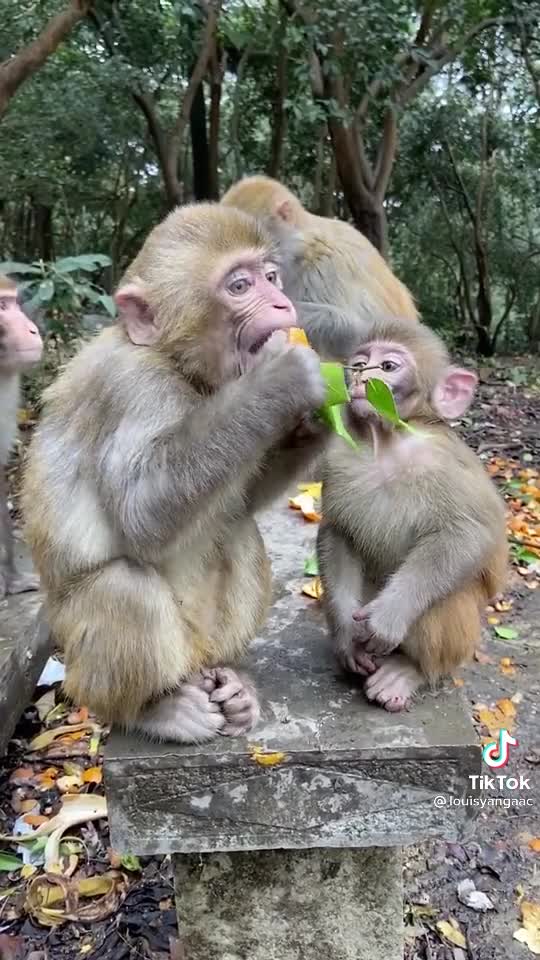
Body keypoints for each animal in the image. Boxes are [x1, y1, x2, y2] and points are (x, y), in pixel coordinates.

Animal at [22, 203, 329, 742]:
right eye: (239, 286)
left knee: (238, 531)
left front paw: (318, 419)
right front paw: (280, 380)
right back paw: (155, 708)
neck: (174, 362)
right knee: (124, 588)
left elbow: (242, 499)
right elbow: (142, 516)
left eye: (271, 278)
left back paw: (235, 685)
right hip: (88, 663)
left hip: (204, 643)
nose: (281, 304)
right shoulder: (135, 388)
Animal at [317, 317, 508, 711]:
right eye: (360, 363)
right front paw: (346, 635)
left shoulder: (442, 460)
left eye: (388, 366)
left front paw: (389, 615)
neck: (387, 444)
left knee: (444, 600)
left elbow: (468, 535)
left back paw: (408, 670)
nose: (362, 377)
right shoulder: (338, 457)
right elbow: (337, 531)